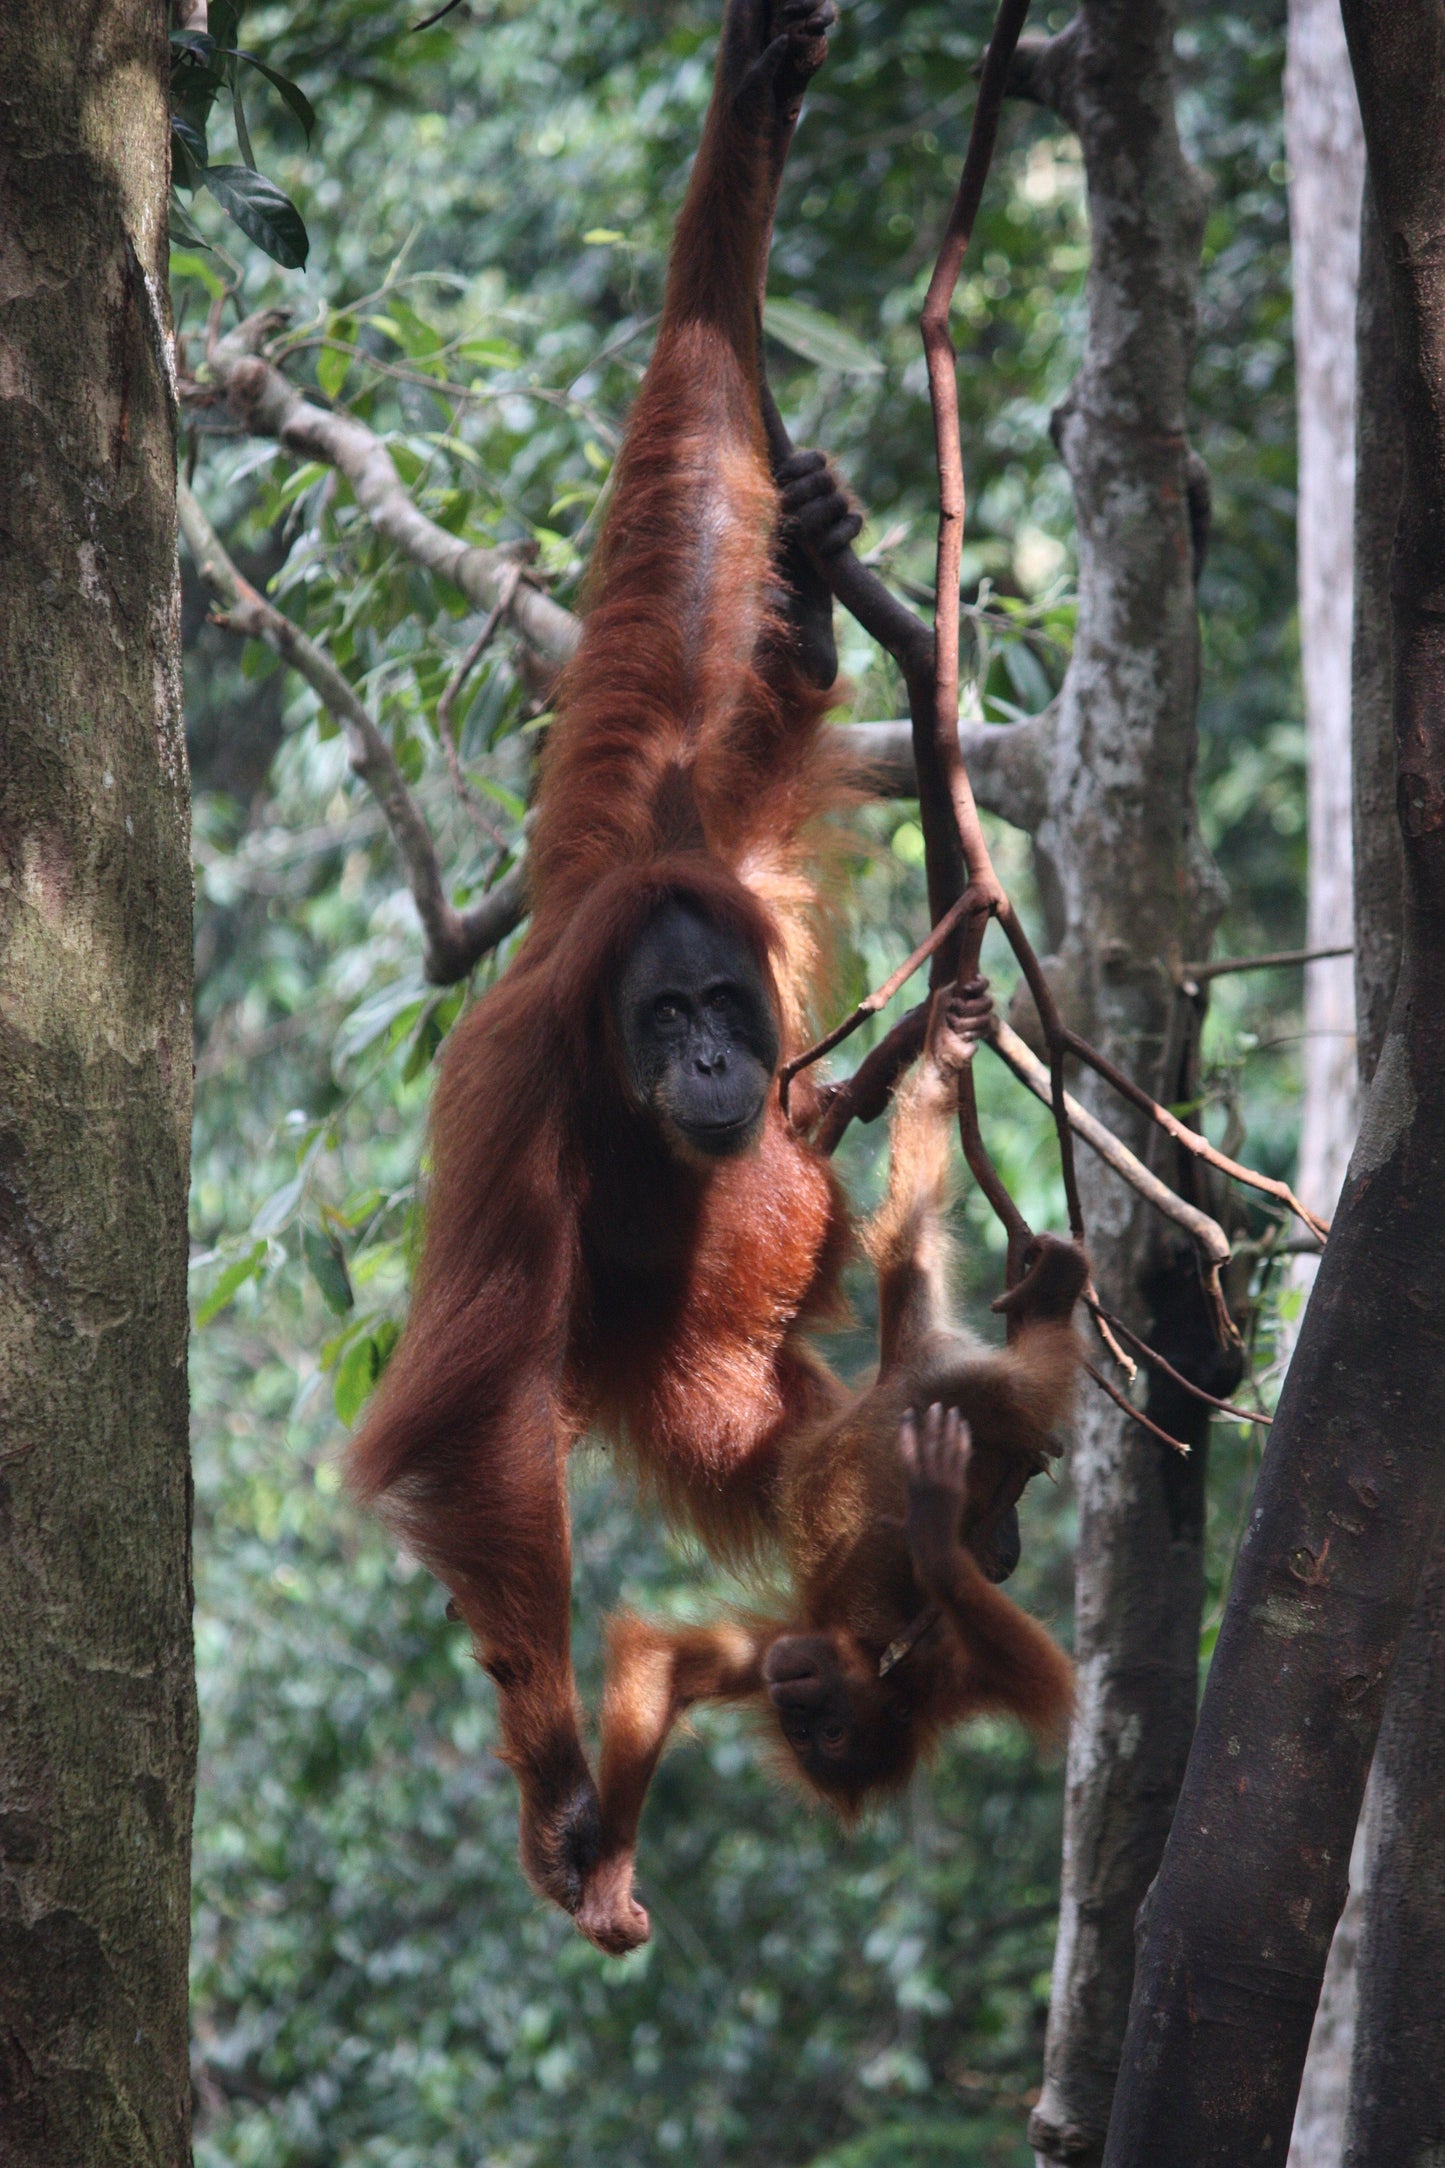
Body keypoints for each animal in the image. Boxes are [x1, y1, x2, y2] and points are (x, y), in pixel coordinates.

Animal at [571, 981, 1085, 1954]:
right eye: (803, 1728)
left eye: (829, 1733)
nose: (794, 1699)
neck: (878, 1659)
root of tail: (909, 1373)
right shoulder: (784, 1647)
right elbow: (669, 1666)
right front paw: (608, 1882)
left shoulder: (920, 1663)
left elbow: (1050, 1681)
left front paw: (935, 1531)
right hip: (934, 1359)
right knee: (911, 1236)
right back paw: (945, 1077)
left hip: (967, 1385)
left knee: (1020, 1372)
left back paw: (1044, 1303)